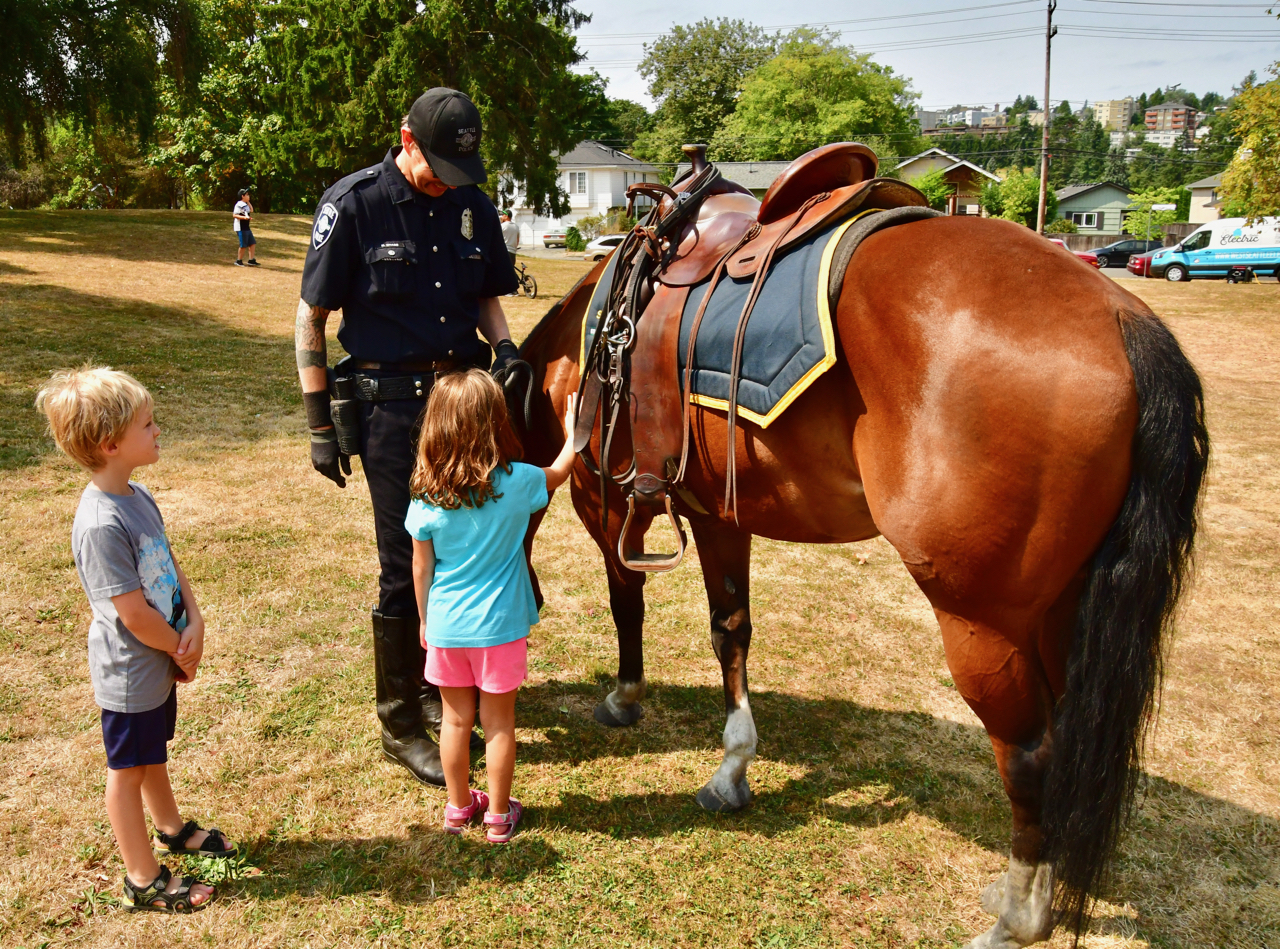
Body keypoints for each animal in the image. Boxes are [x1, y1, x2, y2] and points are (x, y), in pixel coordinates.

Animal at [514, 215, 1203, 947]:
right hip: (1061, 609)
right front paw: (733, 767)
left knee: (1032, 754)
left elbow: (629, 605)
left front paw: (624, 696)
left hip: (982, 625)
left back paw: (1020, 916)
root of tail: (1122, 316)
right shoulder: (722, 516)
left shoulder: (607, 503)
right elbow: (732, 632)